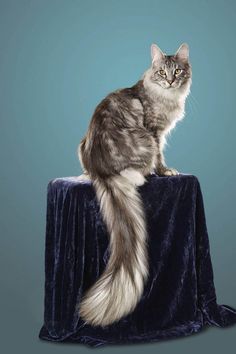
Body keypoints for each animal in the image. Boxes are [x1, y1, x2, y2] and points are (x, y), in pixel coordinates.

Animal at [76, 42, 193, 328]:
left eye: (177, 71)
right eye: (161, 72)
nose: (170, 80)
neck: (164, 96)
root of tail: (100, 168)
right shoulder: (155, 132)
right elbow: (160, 158)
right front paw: (165, 172)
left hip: (80, 146)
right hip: (143, 141)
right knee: (136, 171)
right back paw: (142, 176)